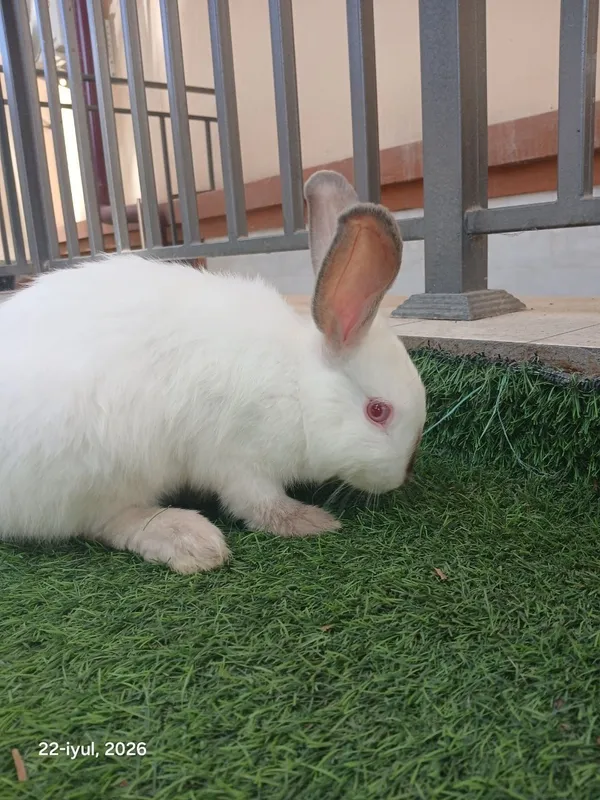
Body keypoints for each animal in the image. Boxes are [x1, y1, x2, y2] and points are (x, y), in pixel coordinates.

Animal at [0, 170, 426, 573]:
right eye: (377, 411)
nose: (402, 477)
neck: (299, 389)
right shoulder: (240, 460)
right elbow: (259, 504)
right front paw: (309, 521)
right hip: (105, 471)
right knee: (106, 521)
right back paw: (189, 539)